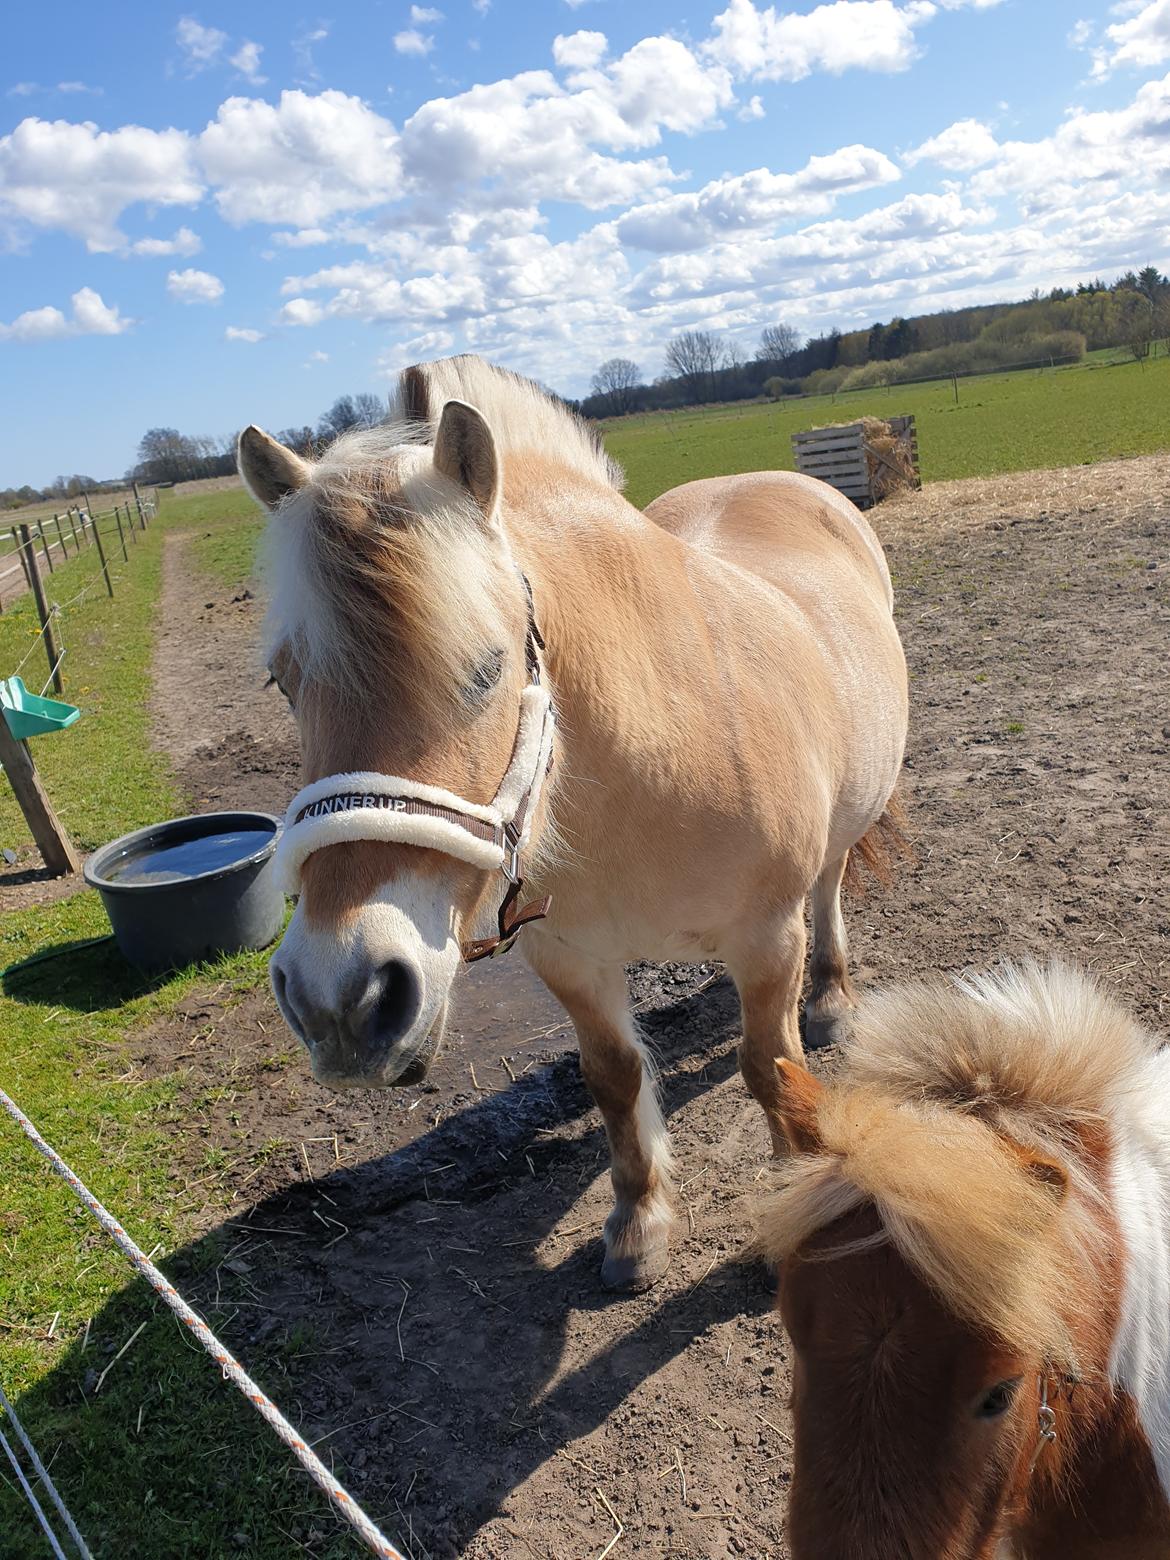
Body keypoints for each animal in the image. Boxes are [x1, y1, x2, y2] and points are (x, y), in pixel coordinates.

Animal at [240, 357, 904, 1291]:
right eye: (283, 681)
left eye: (486, 669)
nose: (342, 997)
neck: (653, 762)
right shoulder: (568, 957)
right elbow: (615, 1076)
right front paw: (638, 1225)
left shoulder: (768, 937)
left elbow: (770, 1071)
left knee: (832, 886)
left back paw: (834, 995)